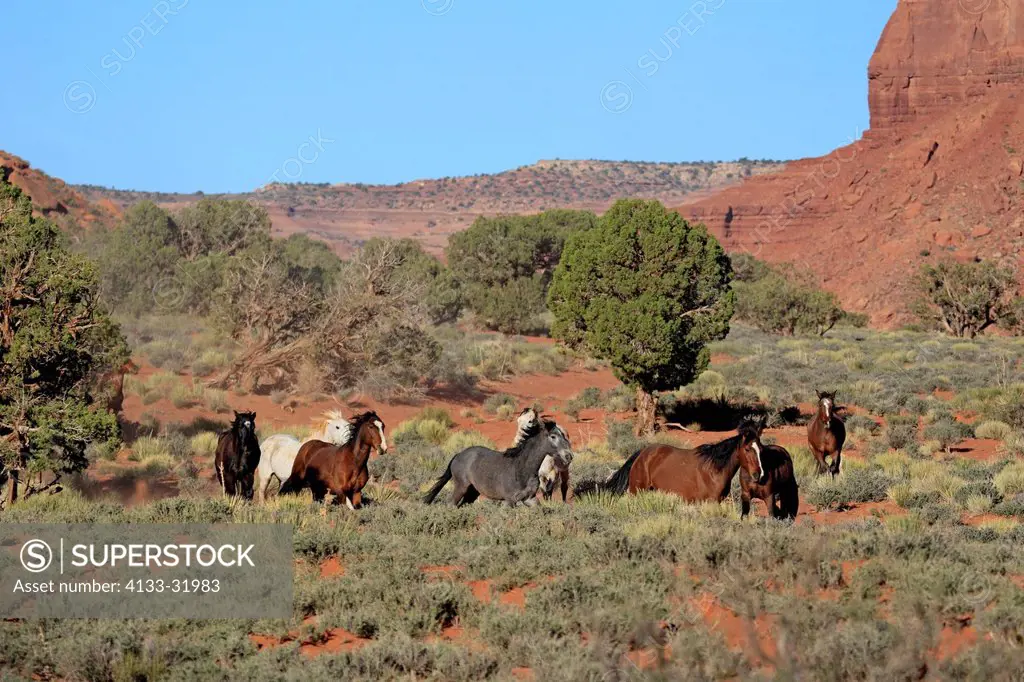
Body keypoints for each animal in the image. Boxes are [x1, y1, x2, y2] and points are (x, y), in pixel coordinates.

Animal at [419, 417, 573, 507]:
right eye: (553, 436)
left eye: (563, 434)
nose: (569, 456)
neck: (522, 468)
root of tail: (458, 455)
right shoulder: (509, 501)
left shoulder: (530, 498)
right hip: (461, 487)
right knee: (452, 504)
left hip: (472, 492)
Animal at [602, 413, 765, 499]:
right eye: (747, 449)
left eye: (761, 448)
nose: (758, 475)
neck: (714, 471)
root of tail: (642, 453)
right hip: (637, 491)